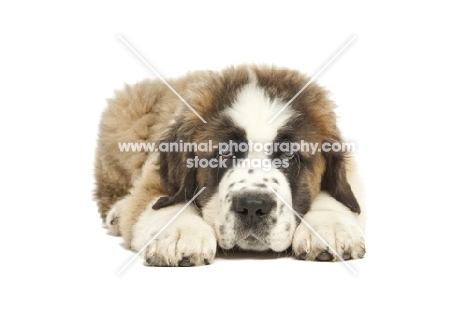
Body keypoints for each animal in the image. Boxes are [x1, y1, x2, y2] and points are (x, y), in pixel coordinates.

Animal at [94, 65, 366, 266]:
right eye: (224, 152)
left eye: (289, 155)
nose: (253, 206)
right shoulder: (153, 177)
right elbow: (162, 202)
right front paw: (182, 232)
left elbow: (339, 196)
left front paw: (329, 225)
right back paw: (118, 212)